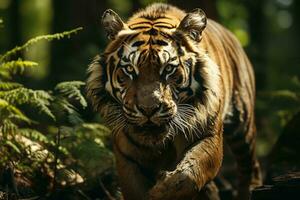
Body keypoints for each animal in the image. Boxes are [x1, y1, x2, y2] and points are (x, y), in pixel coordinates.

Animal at [86, 3, 262, 200]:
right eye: (130, 69)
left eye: (168, 69)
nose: (149, 109)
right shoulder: (127, 159)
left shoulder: (209, 136)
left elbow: (188, 174)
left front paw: (161, 191)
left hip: (243, 126)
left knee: (251, 167)